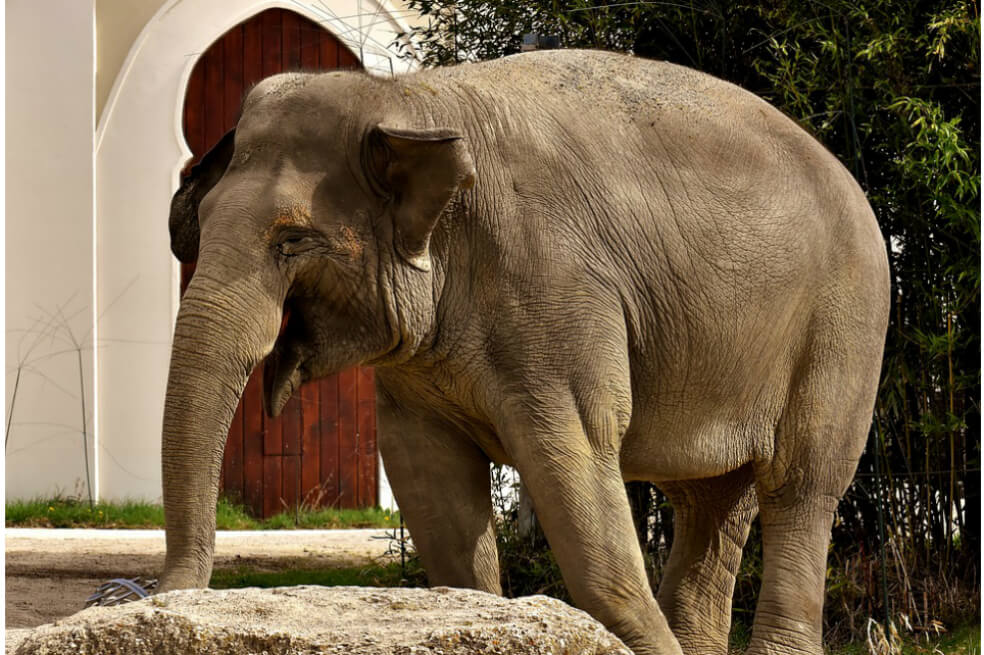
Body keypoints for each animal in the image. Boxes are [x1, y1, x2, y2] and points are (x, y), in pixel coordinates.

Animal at [161, 49, 890, 655]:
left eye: (292, 241)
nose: (157, 596)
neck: (407, 98)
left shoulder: (555, 290)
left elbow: (573, 460)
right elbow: (431, 484)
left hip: (845, 329)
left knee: (801, 486)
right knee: (712, 501)